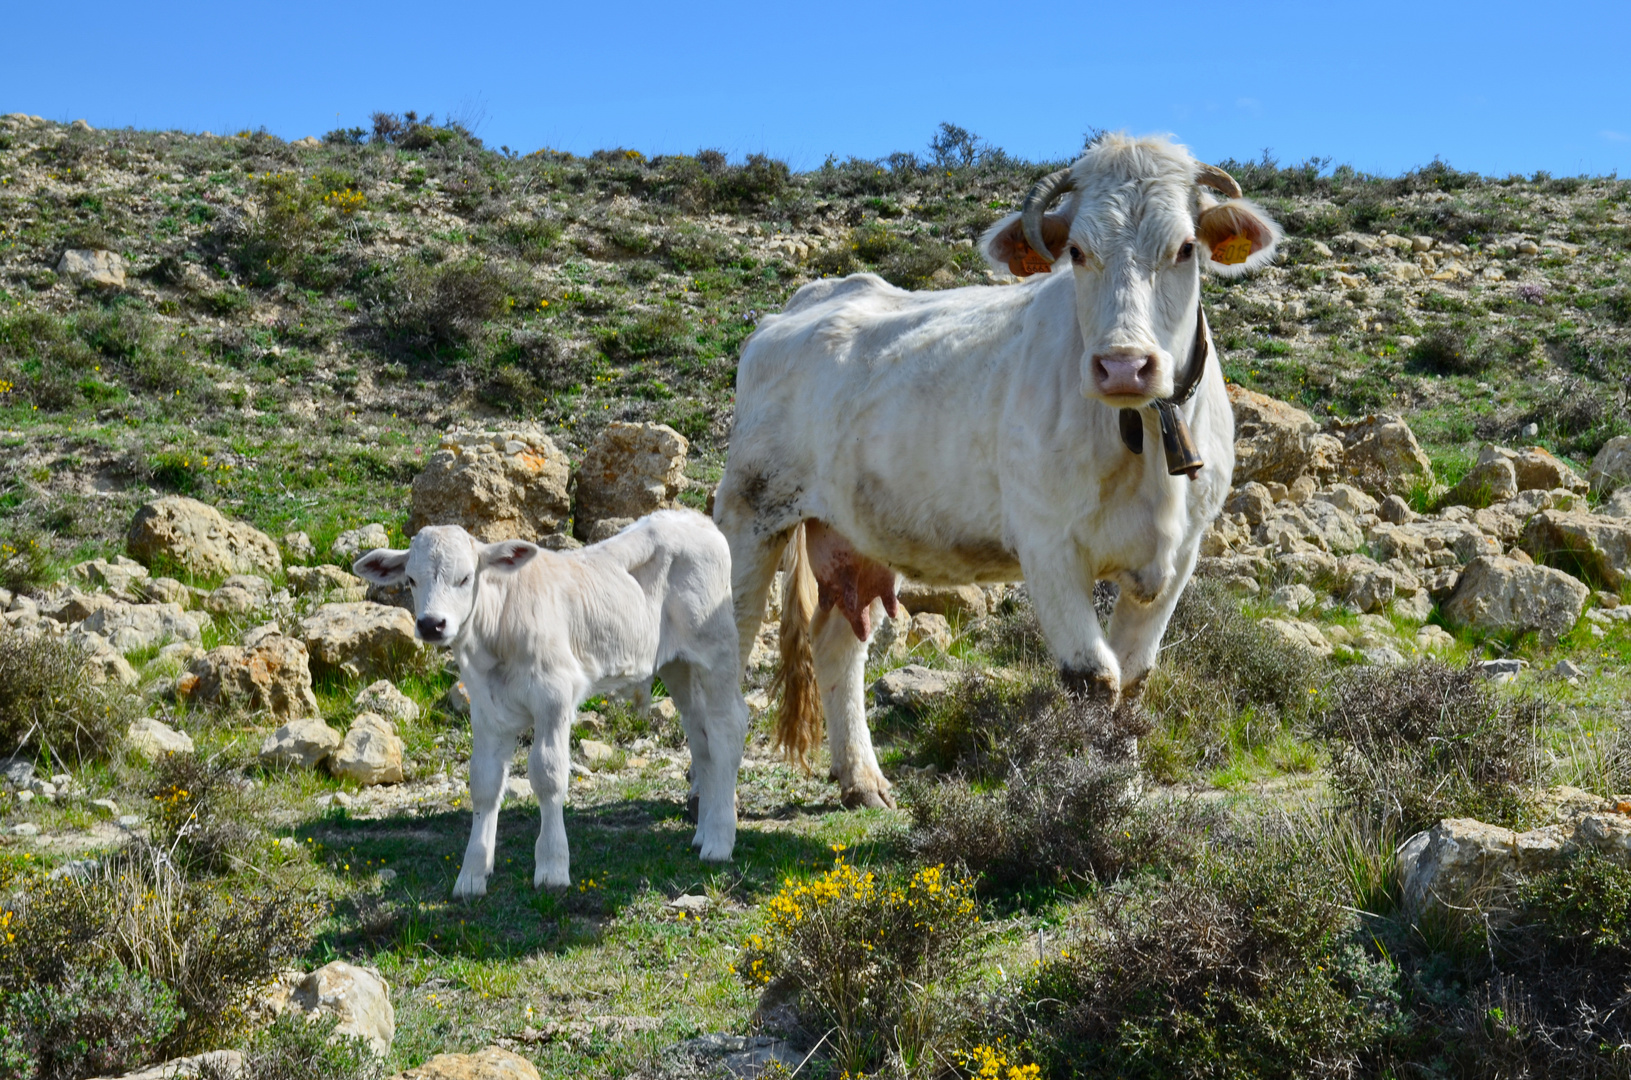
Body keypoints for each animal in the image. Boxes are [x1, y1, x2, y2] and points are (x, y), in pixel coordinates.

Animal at [353, 512, 746, 900]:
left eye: (464, 578)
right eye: (411, 579)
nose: (432, 624)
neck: (497, 632)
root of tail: (692, 518)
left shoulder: (554, 696)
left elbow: (548, 774)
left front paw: (553, 867)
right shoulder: (486, 709)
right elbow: (484, 783)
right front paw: (472, 875)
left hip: (718, 650)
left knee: (728, 728)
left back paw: (719, 840)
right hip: (677, 664)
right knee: (700, 736)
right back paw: (703, 833)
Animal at [720, 135, 1278, 809]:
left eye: (1185, 248)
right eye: (1077, 251)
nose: (1123, 366)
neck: (1144, 439)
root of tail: (804, 303)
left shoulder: (1182, 553)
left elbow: (1134, 678)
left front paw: (1123, 790)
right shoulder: (1048, 545)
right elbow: (1095, 678)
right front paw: (1094, 795)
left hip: (856, 533)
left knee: (838, 647)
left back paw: (864, 781)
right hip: (751, 510)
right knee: (730, 645)